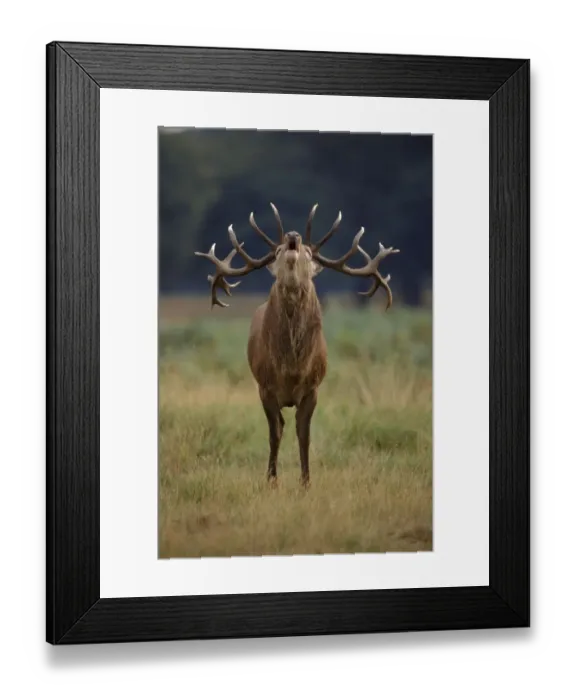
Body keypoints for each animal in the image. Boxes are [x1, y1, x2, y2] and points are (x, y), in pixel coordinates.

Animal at [195, 203, 399, 487]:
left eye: (309, 253)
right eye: (278, 251)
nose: (292, 236)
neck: (292, 368)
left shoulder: (313, 387)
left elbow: (304, 435)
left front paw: (305, 483)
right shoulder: (265, 387)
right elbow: (275, 433)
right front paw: (272, 481)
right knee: (279, 426)